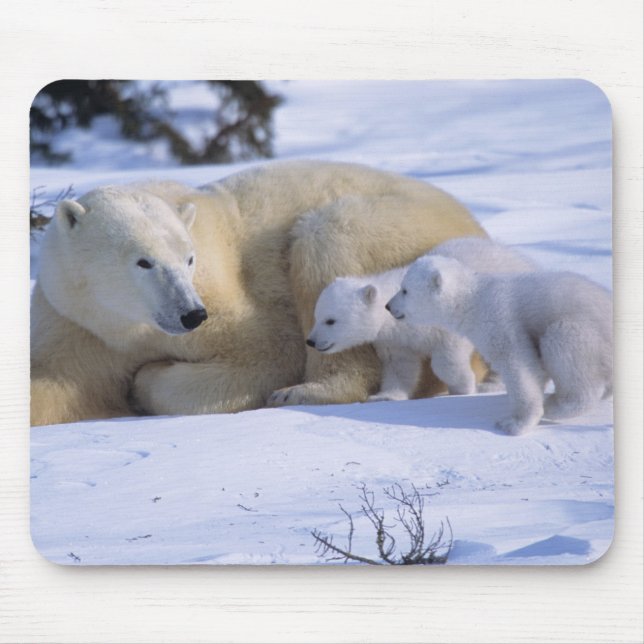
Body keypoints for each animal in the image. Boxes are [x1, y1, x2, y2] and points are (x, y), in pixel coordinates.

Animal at [30, 160, 487, 426]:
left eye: (189, 258)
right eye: (144, 261)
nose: (190, 314)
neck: (125, 325)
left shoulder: (225, 300)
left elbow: (267, 352)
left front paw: (143, 383)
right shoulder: (74, 321)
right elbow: (58, 381)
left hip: (391, 230)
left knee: (329, 241)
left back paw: (303, 391)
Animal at [306, 237, 536, 401]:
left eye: (330, 320)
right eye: (316, 316)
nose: (311, 341)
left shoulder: (442, 320)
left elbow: (446, 357)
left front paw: (463, 387)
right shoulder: (395, 341)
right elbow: (400, 366)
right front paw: (385, 396)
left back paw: (491, 383)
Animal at [386, 255, 613, 435]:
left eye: (404, 290)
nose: (388, 306)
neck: (475, 299)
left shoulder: (500, 320)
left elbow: (519, 365)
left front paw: (514, 424)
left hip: (584, 333)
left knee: (563, 347)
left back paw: (555, 404)